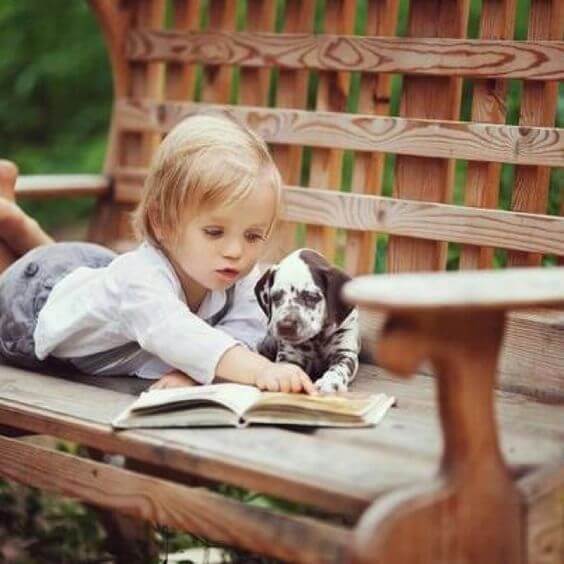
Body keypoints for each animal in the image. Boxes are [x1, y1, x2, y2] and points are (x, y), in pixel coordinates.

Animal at [256, 247, 362, 392]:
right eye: (276, 297)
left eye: (311, 297)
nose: (285, 326)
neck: (317, 339)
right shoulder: (290, 355)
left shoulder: (345, 353)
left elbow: (338, 369)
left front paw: (330, 382)